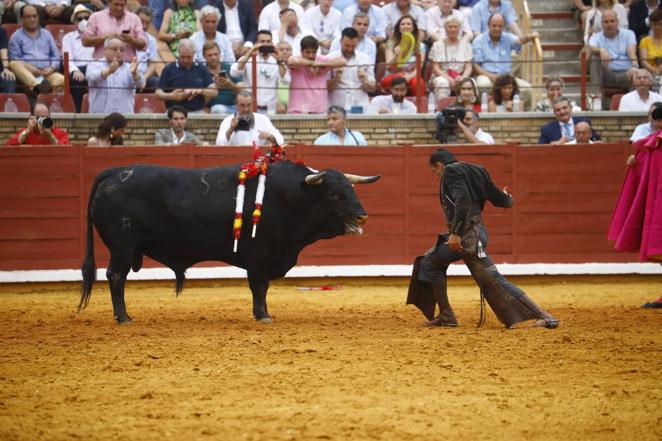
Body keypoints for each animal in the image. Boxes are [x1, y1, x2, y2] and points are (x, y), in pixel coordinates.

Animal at [78, 161, 382, 324]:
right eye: (334, 194)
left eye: (351, 189)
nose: (363, 215)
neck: (289, 196)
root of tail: (116, 171)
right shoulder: (259, 254)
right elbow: (258, 286)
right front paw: (262, 316)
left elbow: (263, 287)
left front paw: (263, 313)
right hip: (122, 248)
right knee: (116, 276)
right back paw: (124, 318)